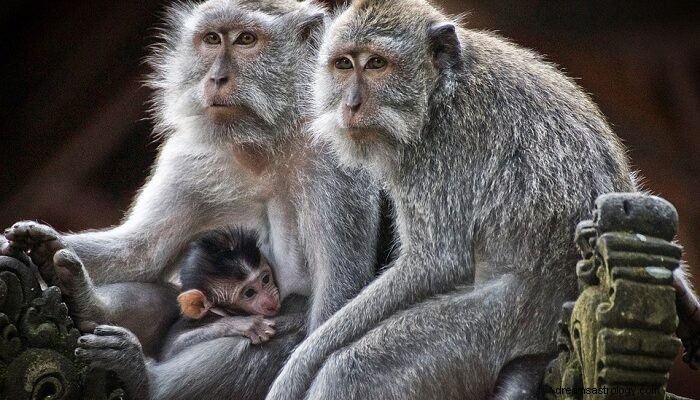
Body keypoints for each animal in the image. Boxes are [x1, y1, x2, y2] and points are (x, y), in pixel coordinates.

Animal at [1, 1, 382, 398]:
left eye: (246, 40)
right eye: (211, 39)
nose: (216, 78)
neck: (262, 143)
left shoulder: (337, 165)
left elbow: (334, 301)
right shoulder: (189, 157)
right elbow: (143, 252)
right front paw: (40, 245)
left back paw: (143, 379)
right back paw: (90, 307)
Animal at [268, 0, 700, 398]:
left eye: (376, 64)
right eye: (343, 65)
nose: (351, 104)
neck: (439, 93)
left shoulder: (440, 151)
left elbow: (437, 263)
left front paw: (299, 365)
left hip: (499, 330)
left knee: (352, 372)